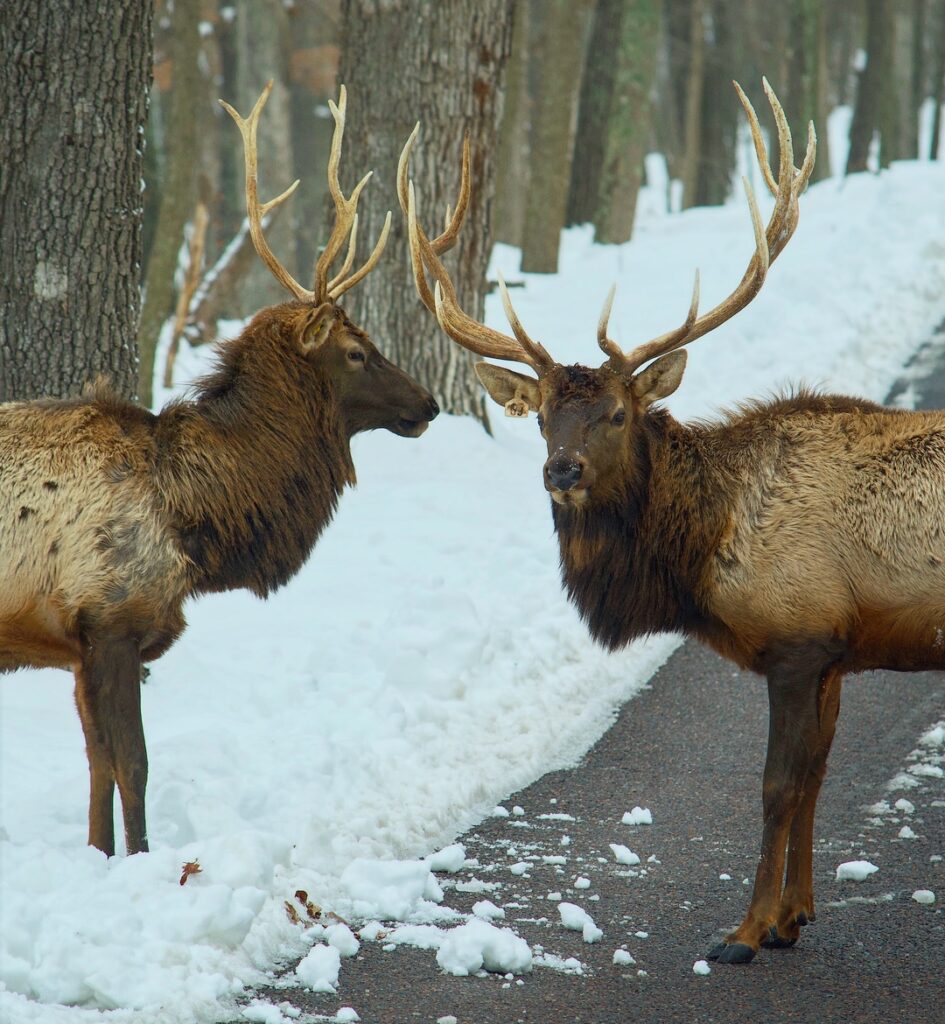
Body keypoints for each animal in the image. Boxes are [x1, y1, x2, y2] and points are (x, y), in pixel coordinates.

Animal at [0, 83, 440, 860]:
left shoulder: (80, 643)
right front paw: (142, 861)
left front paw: (100, 857)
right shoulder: (111, 619)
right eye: (356, 351)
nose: (428, 402)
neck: (196, 524)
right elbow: (133, 763)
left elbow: (95, 767)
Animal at [397, 81, 937, 966]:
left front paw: (745, 932)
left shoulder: (797, 638)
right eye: (541, 416)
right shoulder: (834, 647)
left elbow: (776, 785)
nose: (560, 471)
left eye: (616, 413)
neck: (702, 555)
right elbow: (815, 779)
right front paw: (794, 916)